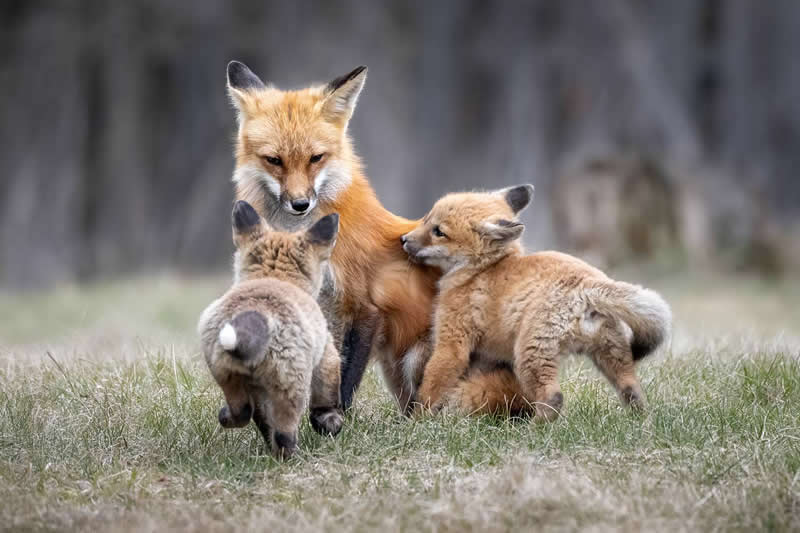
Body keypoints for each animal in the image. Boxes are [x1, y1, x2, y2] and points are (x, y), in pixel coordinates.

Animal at [198, 200, 344, 458]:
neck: (273, 275)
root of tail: (252, 318)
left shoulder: (257, 390)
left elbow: (263, 421)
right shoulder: (327, 353)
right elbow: (326, 397)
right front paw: (330, 423)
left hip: (228, 375)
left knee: (243, 412)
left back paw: (227, 418)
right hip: (290, 386)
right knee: (285, 434)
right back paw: (291, 458)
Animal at [402, 185, 672, 420]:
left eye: (439, 232)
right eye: (426, 219)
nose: (404, 240)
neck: (481, 269)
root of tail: (586, 284)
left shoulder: (452, 342)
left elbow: (432, 385)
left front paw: (417, 421)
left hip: (530, 355)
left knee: (553, 398)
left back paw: (533, 430)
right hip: (611, 353)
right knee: (632, 390)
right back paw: (641, 421)